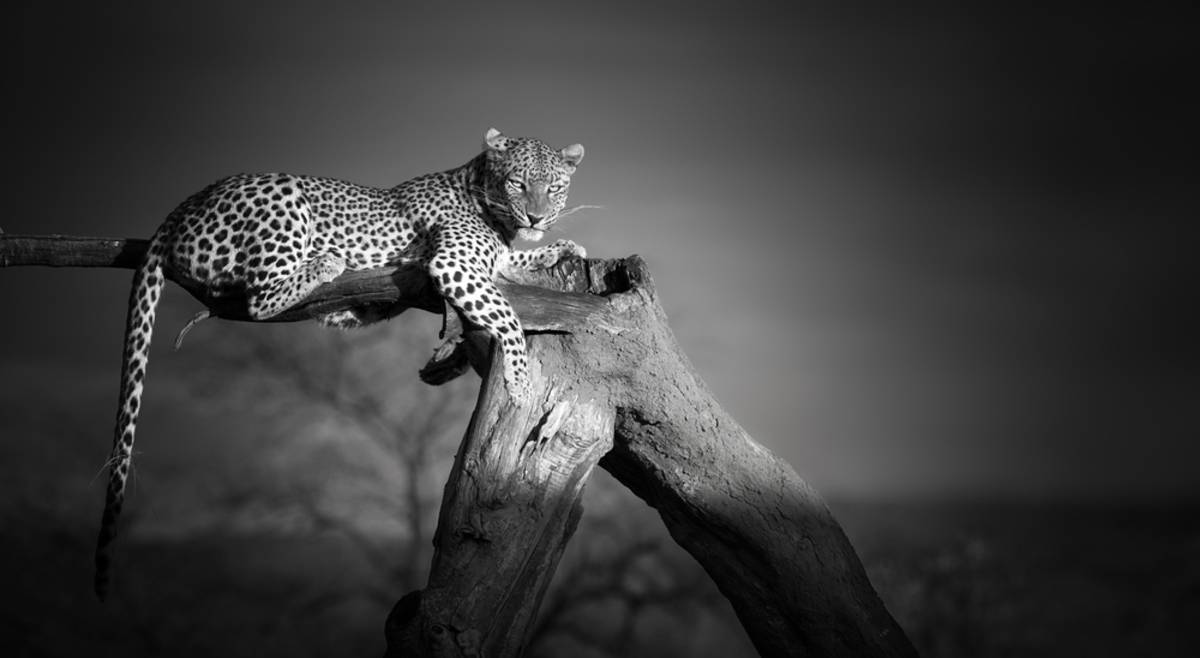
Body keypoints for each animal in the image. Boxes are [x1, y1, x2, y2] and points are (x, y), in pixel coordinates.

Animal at [93, 128, 587, 599]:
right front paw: (520, 382)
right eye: (518, 183)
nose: (537, 218)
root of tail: (184, 205)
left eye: (554, 187)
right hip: (284, 199)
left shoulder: (485, 264)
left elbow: (512, 266)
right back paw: (326, 261)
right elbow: (508, 316)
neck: (489, 203)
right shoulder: (454, 263)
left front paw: (560, 249)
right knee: (258, 299)